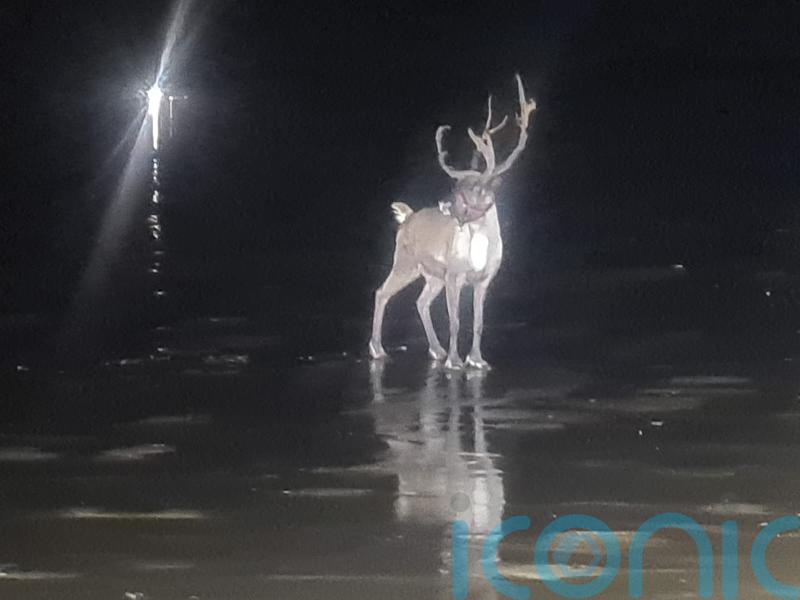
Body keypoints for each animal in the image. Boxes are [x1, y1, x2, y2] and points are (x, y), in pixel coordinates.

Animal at [369, 74, 536, 369]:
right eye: (456, 187)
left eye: (474, 189)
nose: (445, 205)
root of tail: (407, 217)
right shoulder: (454, 275)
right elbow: (456, 321)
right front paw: (456, 361)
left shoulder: (483, 280)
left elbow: (479, 322)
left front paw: (478, 360)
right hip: (405, 262)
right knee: (382, 292)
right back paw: (378, 349)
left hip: (431, 275)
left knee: (420, 302)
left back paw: (436, 350)